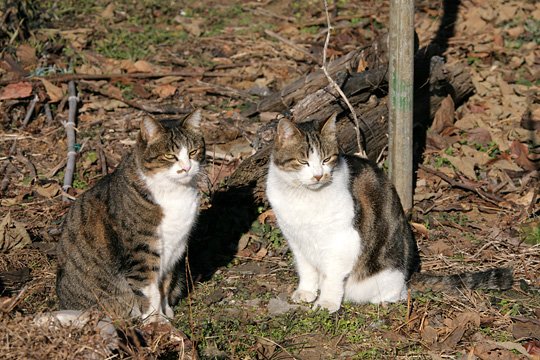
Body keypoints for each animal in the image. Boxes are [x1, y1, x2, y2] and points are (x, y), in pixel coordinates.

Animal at [57, 109, 205, 320]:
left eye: (193, 152)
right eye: (170, 155)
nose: (186, 168)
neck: (173, 191)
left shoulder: (174, 251)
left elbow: (165, 286)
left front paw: (166, 312)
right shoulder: (142, 253)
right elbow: (150, 292)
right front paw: (156, 321)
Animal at [268, 114, 512, 314]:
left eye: (326, 159)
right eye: (303, 161)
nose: (319, 176)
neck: (303, 196)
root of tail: (408, 277)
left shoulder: (342, 241)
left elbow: (332, 277)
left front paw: (326, 302)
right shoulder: (297, 240)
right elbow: (306, 270)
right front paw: (306, 292)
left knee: (398, 293)